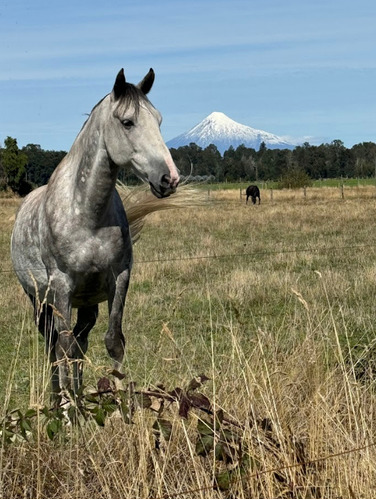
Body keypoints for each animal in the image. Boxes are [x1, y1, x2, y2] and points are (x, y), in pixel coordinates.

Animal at [9, 68, 178, 400]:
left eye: (159, 120)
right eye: (127, 122)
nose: (169, 179)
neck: (88, 215)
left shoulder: (119, 279)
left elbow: (113, 341)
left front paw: (119, 403)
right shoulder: (61, 286)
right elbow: (61, 347)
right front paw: (66, 407)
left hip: (86, 304)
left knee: (79, 342)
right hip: (40, 301)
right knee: (54, 345)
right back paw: (58, 398)